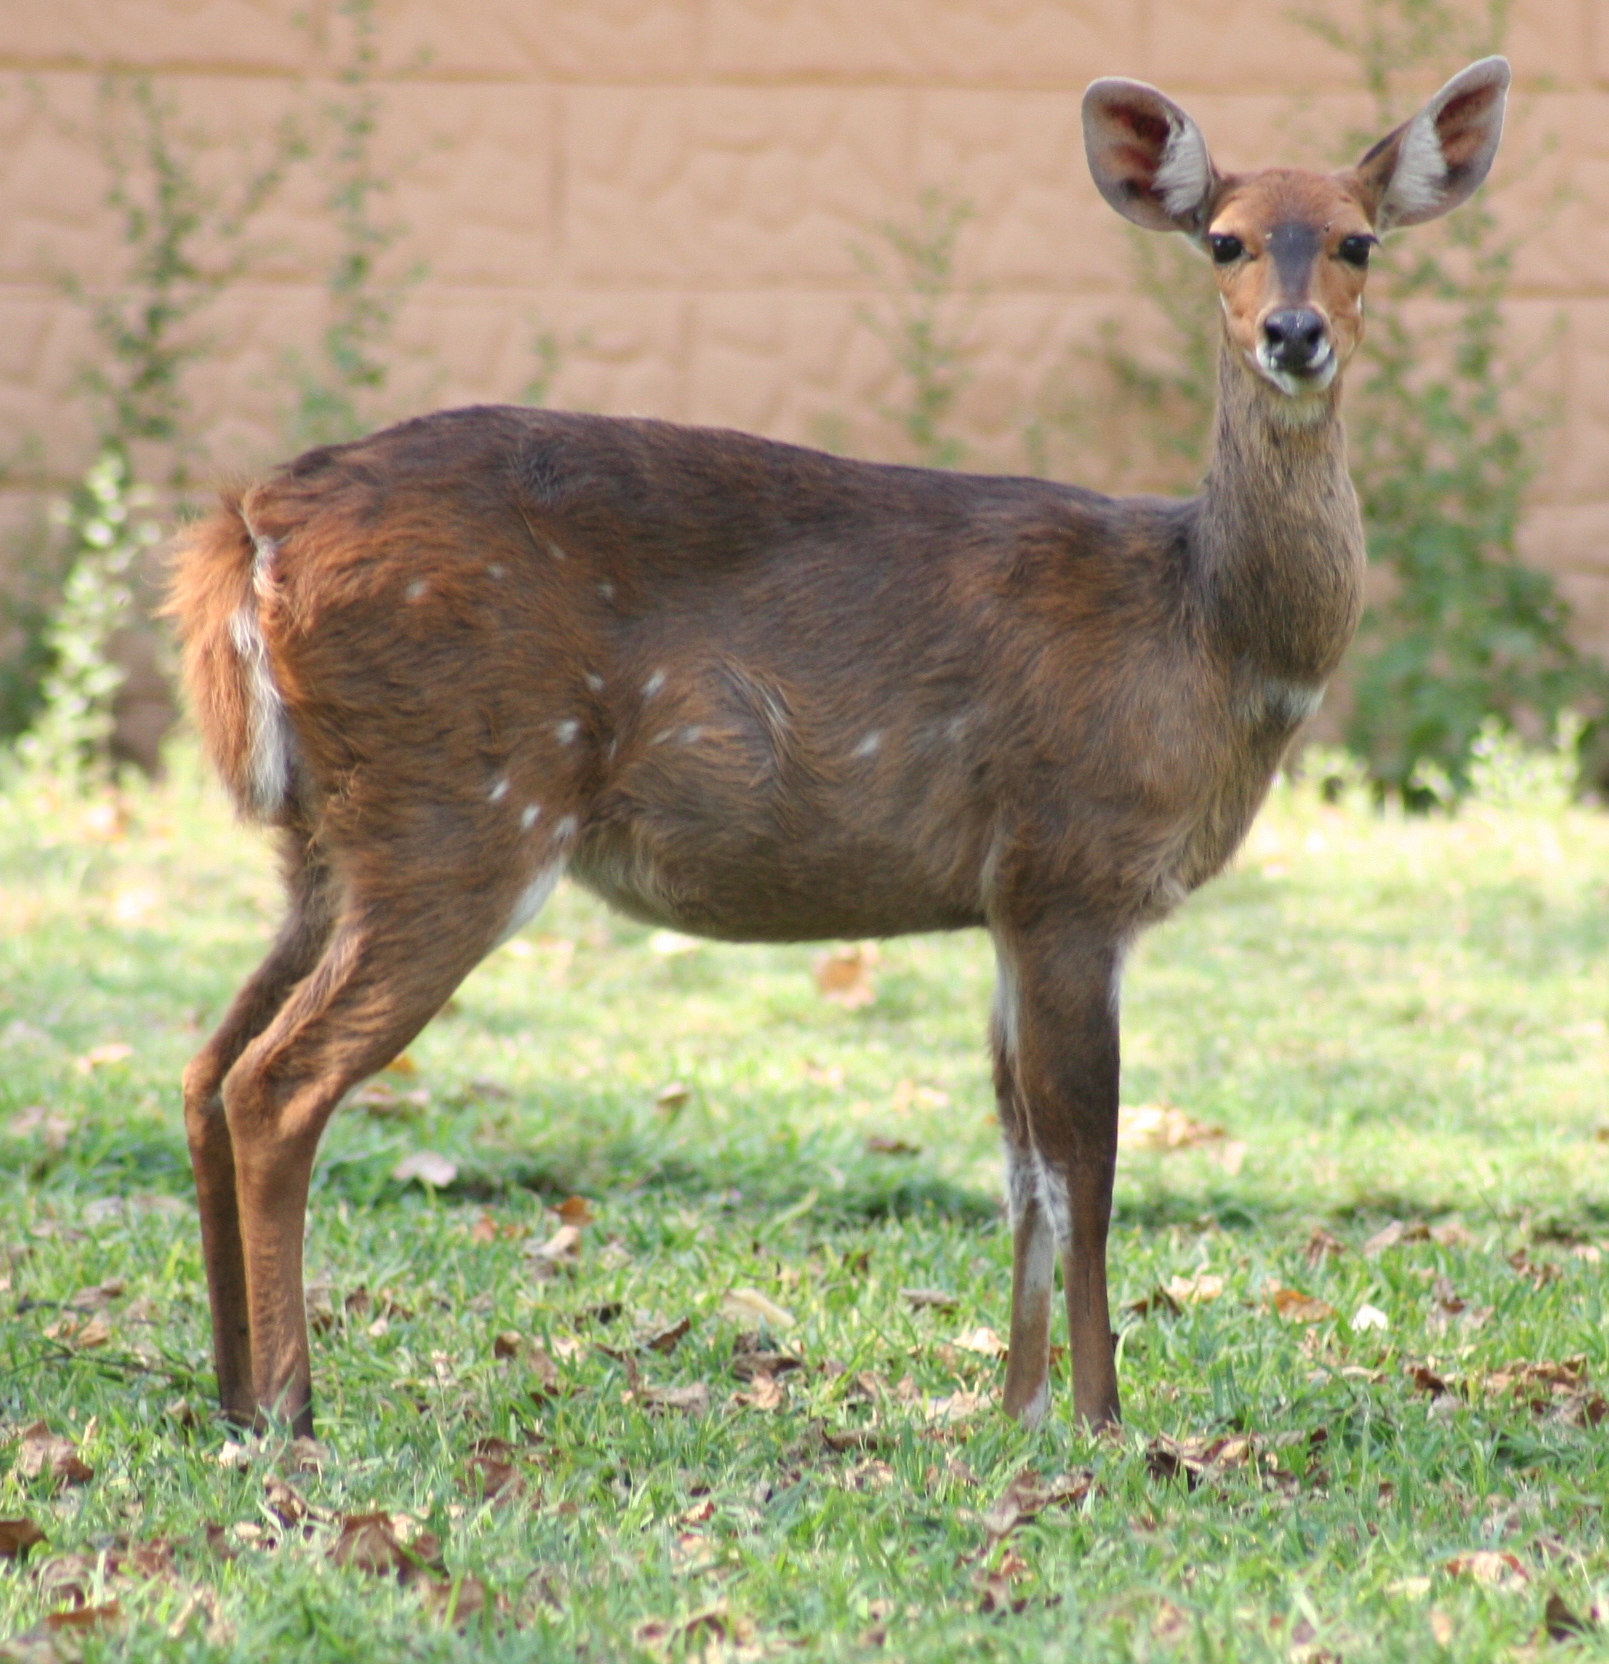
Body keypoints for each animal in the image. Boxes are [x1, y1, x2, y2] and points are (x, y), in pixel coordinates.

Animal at [173, 61, 1510, 1444]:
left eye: (1356, 240)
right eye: (1225, 240)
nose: (1292, 334)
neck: (1201, 630)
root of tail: (250, 525)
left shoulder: (1005, 903)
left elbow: (1018, 1160)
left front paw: (1016, 1408)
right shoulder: (1072, 869)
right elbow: (1085, 1159)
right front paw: (1100, 1419)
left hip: (328, 840)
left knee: (207, 1066)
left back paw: (229, 1386)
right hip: (463, 807)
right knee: (278, 1080)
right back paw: (291, 1409)